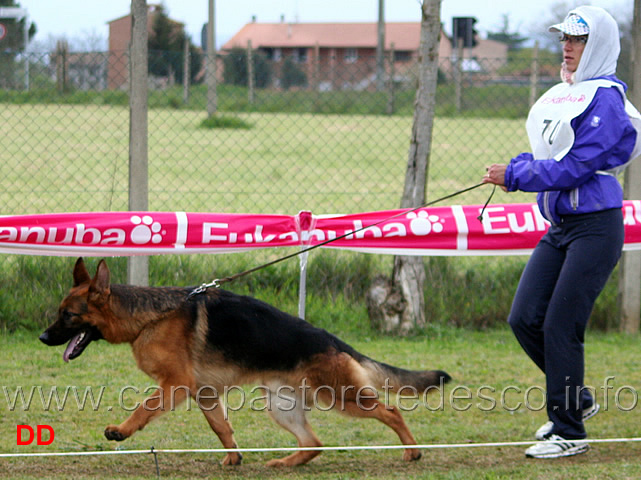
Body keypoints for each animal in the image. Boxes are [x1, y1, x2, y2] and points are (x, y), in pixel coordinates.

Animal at [40, 256, 450, 466]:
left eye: (68, 316)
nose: (43, 338)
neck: (148, 317)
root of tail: (332, 340)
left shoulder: (175, 385)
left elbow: (143, 408)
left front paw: (121, 432)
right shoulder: (204, 393)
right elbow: (221, 427)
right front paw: (234, 460)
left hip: (339, 396)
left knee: (391, 411)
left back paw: (412, 451)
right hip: (282, 406)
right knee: (315, 442)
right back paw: (285, 464)